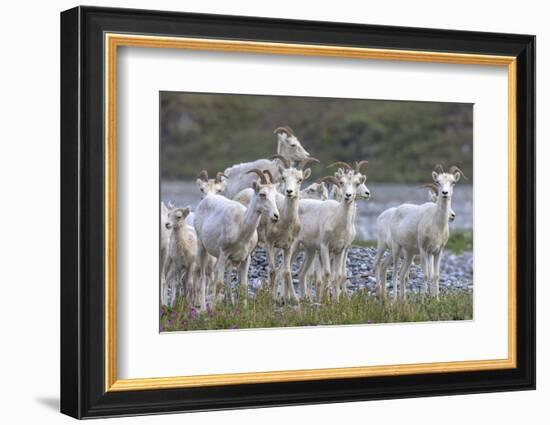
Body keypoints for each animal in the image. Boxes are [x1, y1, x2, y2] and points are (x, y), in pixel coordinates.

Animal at [194, 168, 280, 308]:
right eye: (262, 194)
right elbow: (219, 284)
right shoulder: (224, 254)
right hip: (202, 248)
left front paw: (243, 308)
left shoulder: (246, 258)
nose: (276, 216)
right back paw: (203, 308)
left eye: (275, 195)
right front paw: (216, 309)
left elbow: (243, 285)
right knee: (202, 278)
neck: (240, 227)